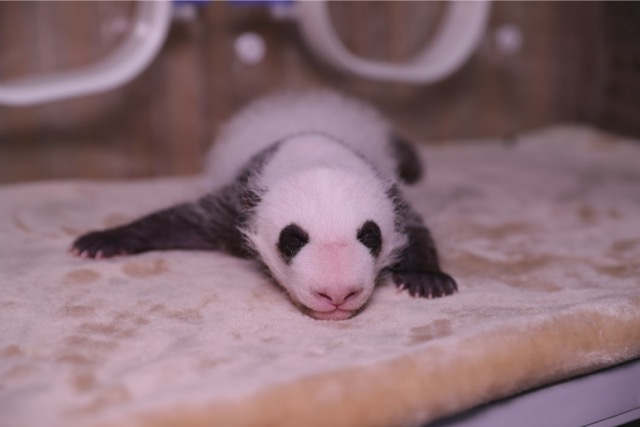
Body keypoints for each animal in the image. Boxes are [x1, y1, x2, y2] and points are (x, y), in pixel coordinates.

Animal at [72, 92, 458, 320]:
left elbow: (415, 227)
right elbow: (179, 220)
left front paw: (426, 277)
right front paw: (107, 240)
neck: (313, 149)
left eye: (370, 236)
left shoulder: (390, 191)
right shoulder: (238, 204)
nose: (337, 294)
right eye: (292, 240)